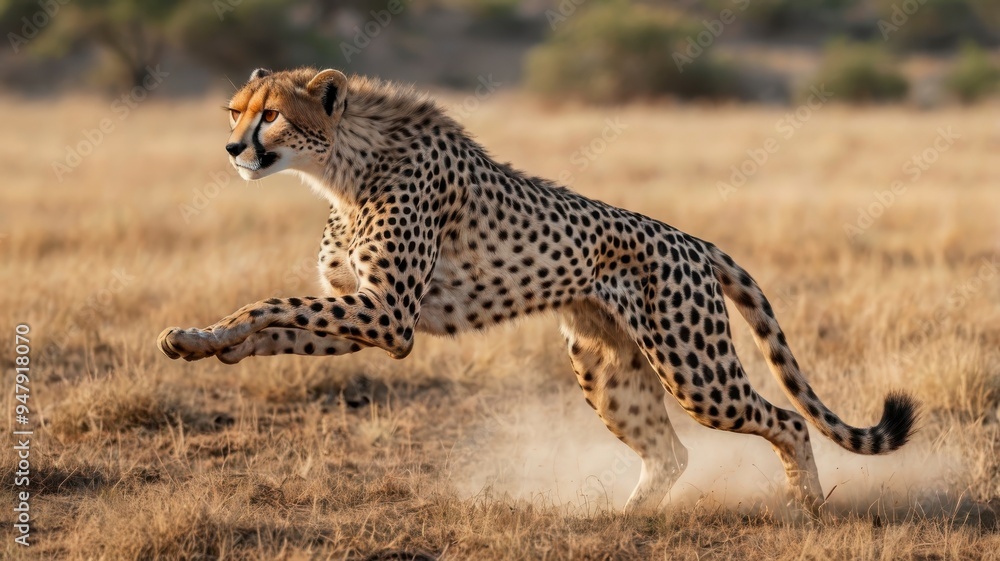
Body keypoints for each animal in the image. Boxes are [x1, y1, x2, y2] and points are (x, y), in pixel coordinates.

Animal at [158, 67, 918, 515]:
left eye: (271, 117)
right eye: (233, 111)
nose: (233, 150)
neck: (344, 164)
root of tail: (691, 239)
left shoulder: (389, 317)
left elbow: (269, 303)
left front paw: (214, 336)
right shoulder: (367, 314)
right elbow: (278, 322)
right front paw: (205, 342)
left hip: (696, 370)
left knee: (786, 420)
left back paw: (809, 507)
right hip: (605, 365)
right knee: (671, 453)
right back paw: (621, 521)